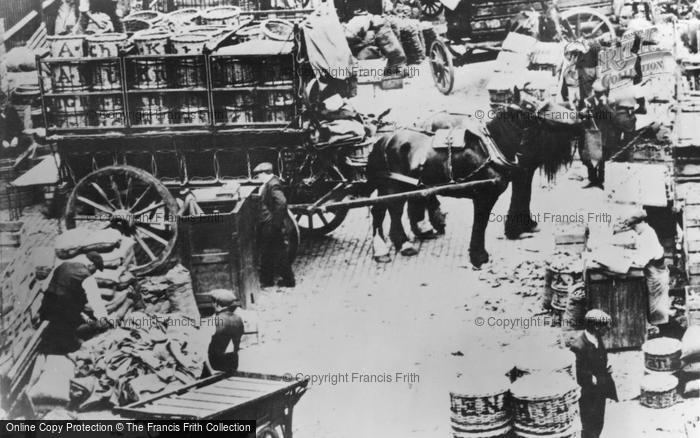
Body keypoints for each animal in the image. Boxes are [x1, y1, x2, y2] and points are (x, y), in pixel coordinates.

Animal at [370, 92, 584, 266]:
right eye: (534, 106)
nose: (579, 118)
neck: (494, 145)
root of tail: (383, 140)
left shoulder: (522, 172)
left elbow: (521, 195)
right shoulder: (485, 195)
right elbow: (481, 223)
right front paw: (479, 256)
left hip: (404, 186)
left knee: (394, 209)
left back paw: (406, 239)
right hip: (392, 187)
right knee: (386, 210)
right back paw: (392, 245)